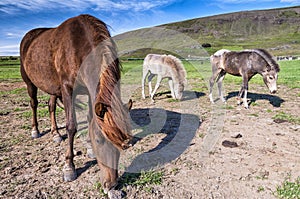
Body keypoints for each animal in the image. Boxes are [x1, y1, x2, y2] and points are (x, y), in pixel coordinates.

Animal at [20, 14, 133, 192]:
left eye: (123, 141)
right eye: (99, 140)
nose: (111, 184)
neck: (78, 46)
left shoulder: (88, 92)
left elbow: (89, 119)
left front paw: (89, 148)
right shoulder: (67, 89)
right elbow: (71, 126)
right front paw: (69, 167)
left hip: (53, 87)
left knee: (51, 106)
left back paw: (55, 134)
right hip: (30, 83)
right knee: (34, 104)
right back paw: (35, 130)